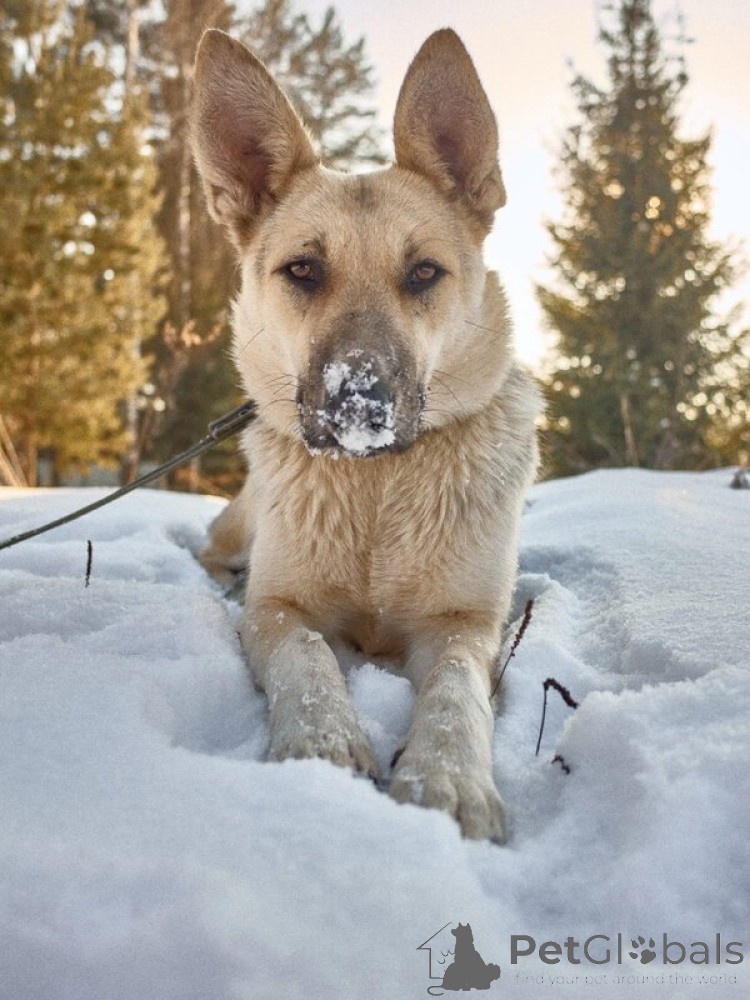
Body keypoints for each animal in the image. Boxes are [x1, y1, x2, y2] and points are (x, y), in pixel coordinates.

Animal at [191, 27, 541, 841]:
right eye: (303, 270)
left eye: (423, 273)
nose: (360, 401)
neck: (378, 484)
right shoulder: (278, 610)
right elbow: (306, 653)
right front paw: (320, 741)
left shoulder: (465, 624)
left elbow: (455, 691)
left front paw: (447, 778)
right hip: (240, 521)